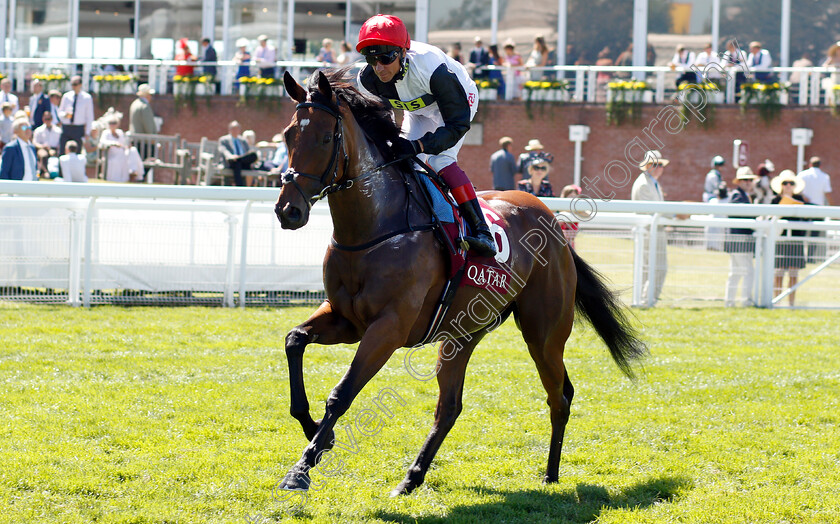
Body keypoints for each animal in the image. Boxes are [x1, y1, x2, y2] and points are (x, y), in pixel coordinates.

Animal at [272, 68, 648, 496]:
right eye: (288, 135)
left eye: (324, 138)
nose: (288, 210)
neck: (377, 225)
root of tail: (550, 219)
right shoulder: (346, 319)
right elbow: (294, 341)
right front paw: (316, 430)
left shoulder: (388, 328)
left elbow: (342, 392)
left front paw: (301, 468)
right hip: (461, 334)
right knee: (451, 406)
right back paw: (412, 477)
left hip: (544, 334)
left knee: (559, 396)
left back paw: (551, 474)